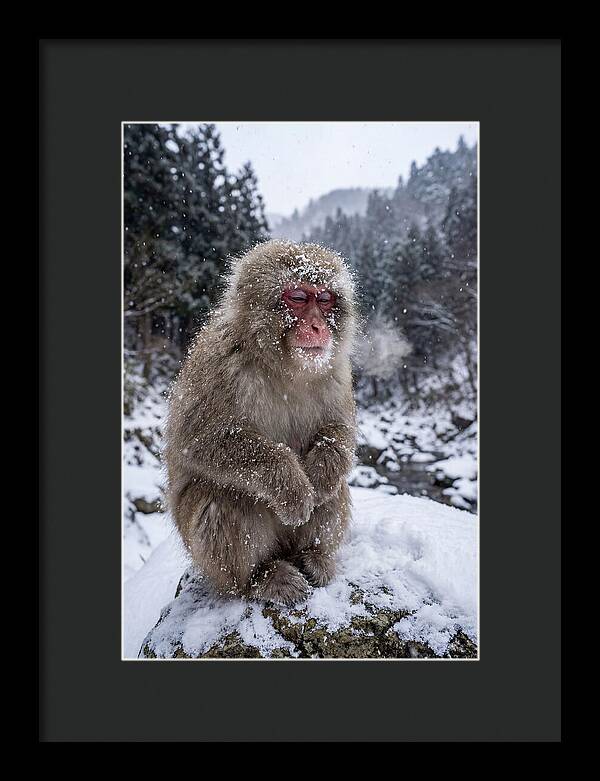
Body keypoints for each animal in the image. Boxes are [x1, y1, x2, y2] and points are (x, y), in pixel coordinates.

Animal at [163, 239, 358, 605]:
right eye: (298, 297)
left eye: (325, 299)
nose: (318, 327)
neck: (283, 367)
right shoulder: (218, 364)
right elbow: (198, 442)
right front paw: (293, 487)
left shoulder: (337, 372)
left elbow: (340, 431)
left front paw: (321, 475)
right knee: (222, 497)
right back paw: (259, 579)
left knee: (336, 489)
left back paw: (314, 556)